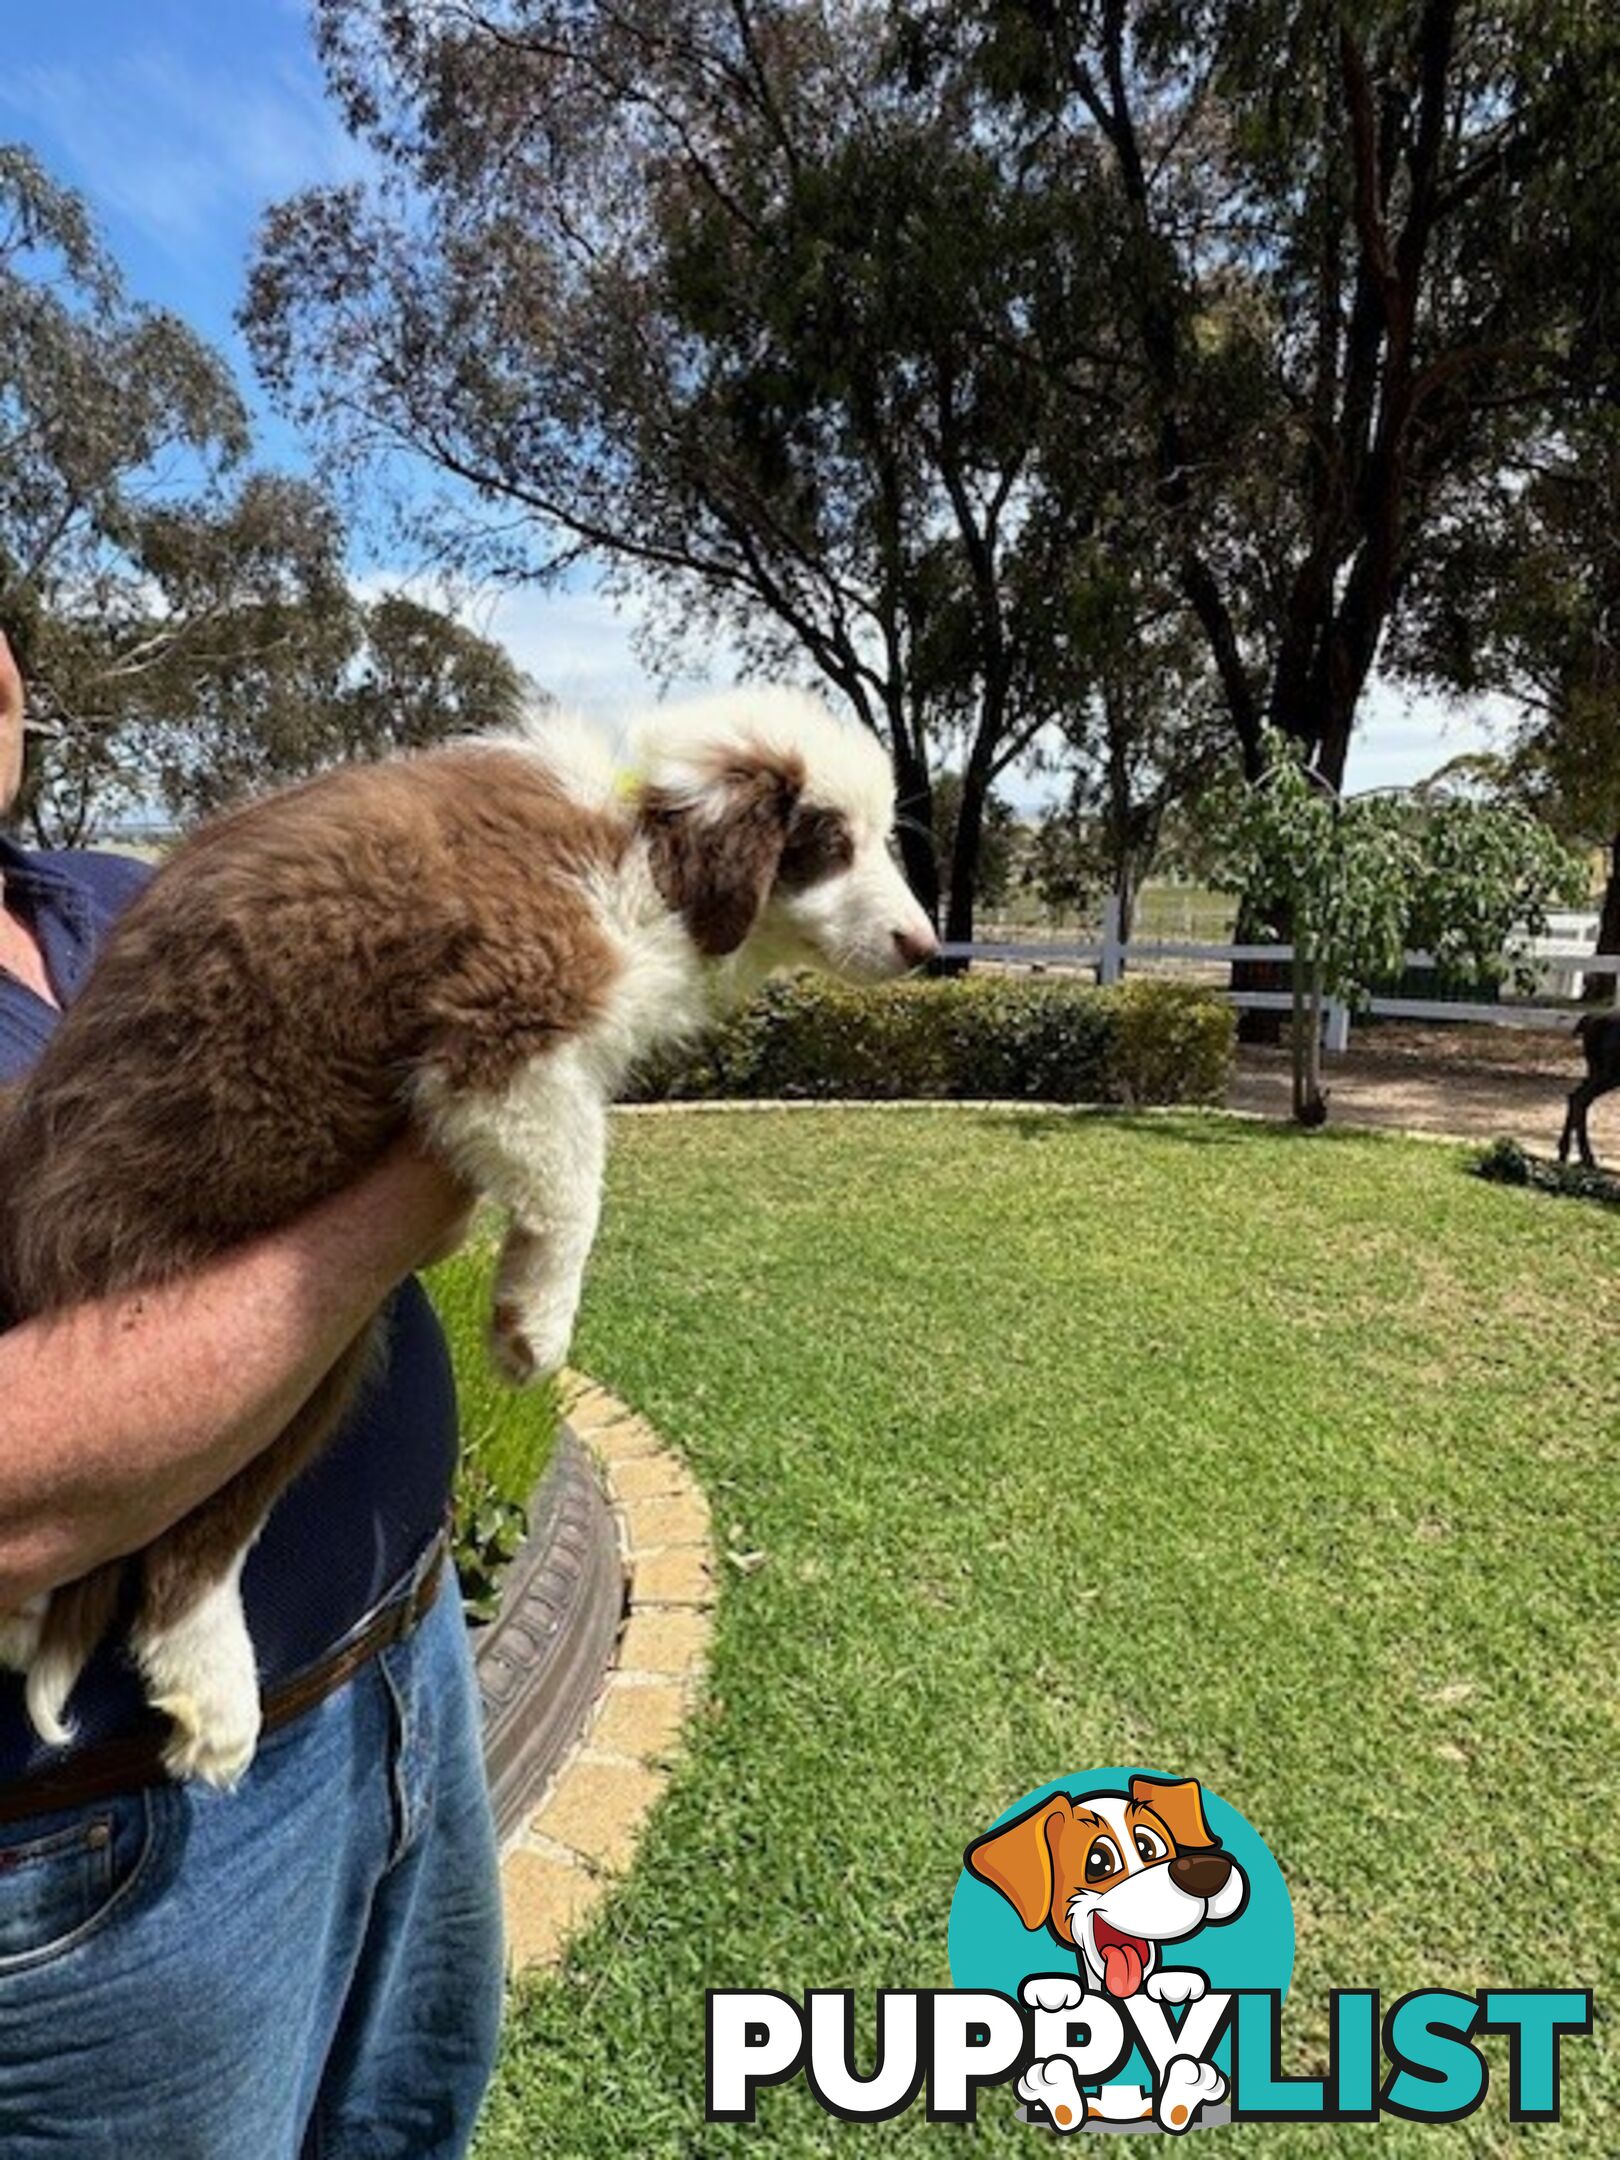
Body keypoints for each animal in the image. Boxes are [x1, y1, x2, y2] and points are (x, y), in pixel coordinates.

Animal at [0, 691, 937, 1788]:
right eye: (828, 842)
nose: (926, 947)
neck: (641, 840)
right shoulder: (509, 1015)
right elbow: (577, 1168)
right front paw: (535, 1324)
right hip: (258, 1352)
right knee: (185, 1556)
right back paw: (216, 1696)